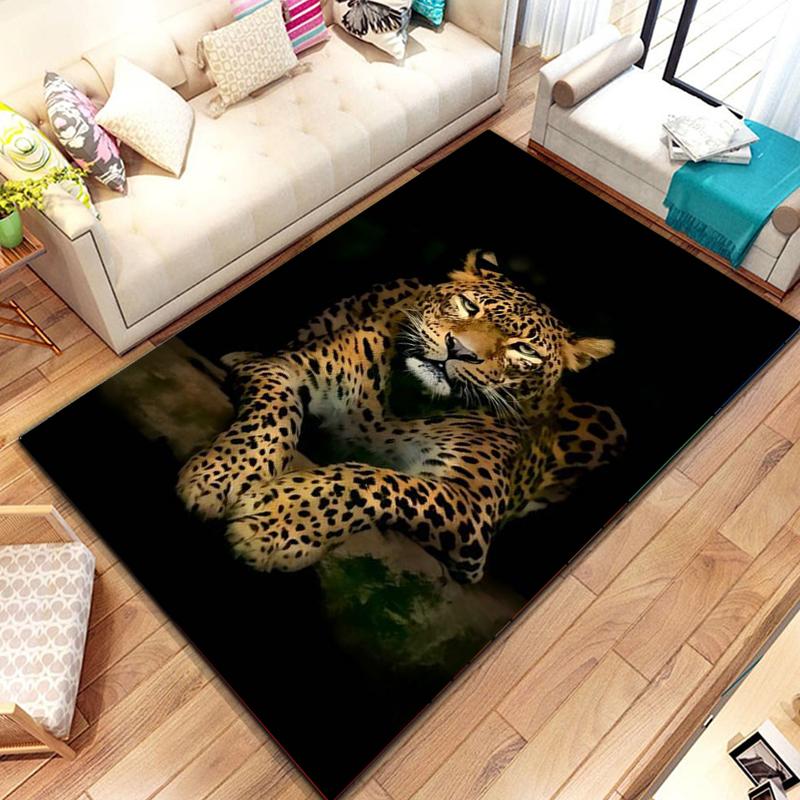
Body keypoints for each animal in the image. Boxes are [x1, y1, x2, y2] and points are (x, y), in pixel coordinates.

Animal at [176, 250, 626, 584]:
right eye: (469, 306)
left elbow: (373, 481)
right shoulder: (289, 369)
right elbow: (270, 416)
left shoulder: (472, 507)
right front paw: (224, 475)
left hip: (608, 424)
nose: (460, 350)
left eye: (525, 350)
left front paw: (277, 522)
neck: (408, 400)